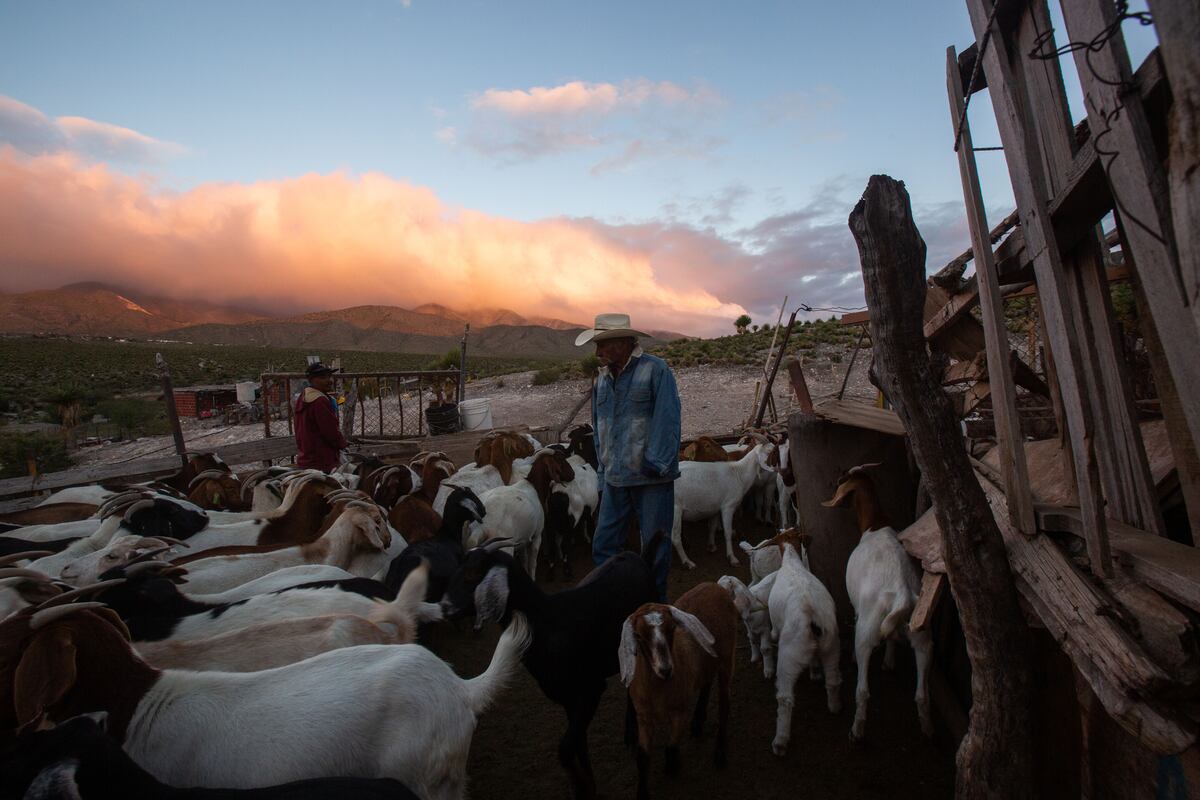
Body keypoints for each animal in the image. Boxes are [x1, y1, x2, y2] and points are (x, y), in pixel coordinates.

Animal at [444, 527, 667, 796]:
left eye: (473, 573)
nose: (444, 607)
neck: (548, 620)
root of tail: (640, 557)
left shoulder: (590, 690)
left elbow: (565, 749)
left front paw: (581, 785)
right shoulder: (567, 699)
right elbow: (578, 745)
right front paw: (588, 787)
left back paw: (632, 735)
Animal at [619, 582, 739, 800]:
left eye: (672, 628)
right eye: (638, 636)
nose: (666, 669)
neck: (658, 689)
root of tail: (716, 585)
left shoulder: (680, 712)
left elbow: (671, 746)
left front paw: (672, 768)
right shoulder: (643, 717)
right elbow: (642, 757)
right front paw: (642, 793)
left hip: (727, 657)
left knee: (724, 702)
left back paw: (719, 752)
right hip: (708, 658)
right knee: (706, 683)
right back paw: (698, 721)